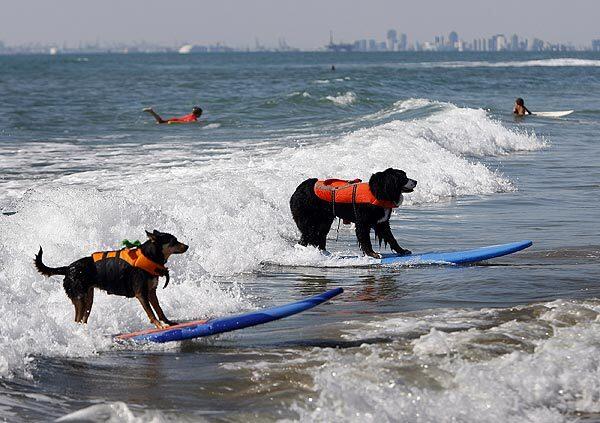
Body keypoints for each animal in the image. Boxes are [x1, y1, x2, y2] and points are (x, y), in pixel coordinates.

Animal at [34, 230, 188, 330]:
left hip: (89, 298)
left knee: (83, 318)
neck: (150, 256)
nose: (187, 246)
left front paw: (168, 322)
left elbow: (159, 309)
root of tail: (67, 268)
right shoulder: (141, 294)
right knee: (77, 319)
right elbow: (150, 312)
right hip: (79, 298)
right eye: (174, 241)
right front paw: (159, 325)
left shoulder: (151, 292)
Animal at [290, 168, 418, 258]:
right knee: (307, 237)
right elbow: (366, 240)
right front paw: (373, 254)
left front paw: (402, 250)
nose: (416, 181)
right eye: (403, 177)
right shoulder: (362, 222)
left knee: (318, 236)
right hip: (309, 221)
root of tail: (298, 189)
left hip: (324, 221)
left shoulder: (382, 223)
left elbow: (391, 238)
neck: (379, 192)